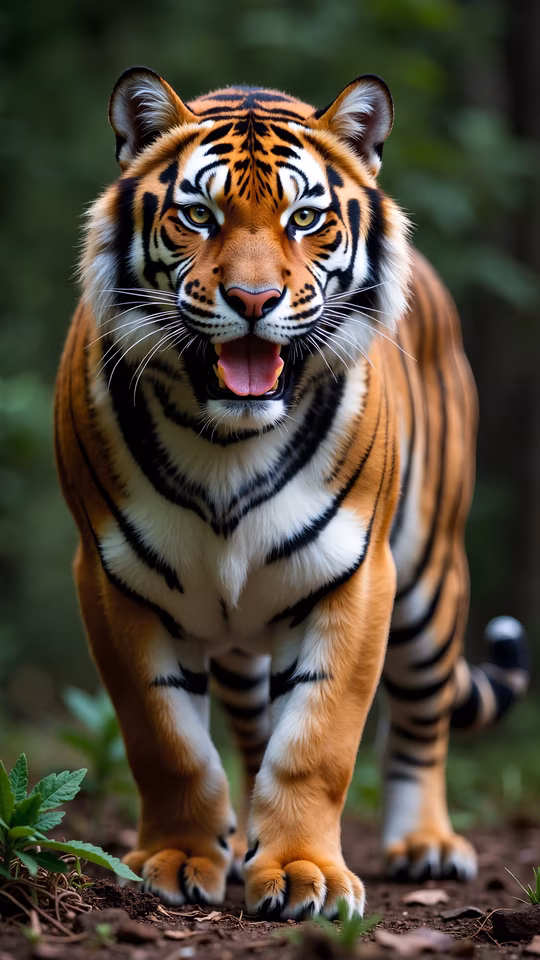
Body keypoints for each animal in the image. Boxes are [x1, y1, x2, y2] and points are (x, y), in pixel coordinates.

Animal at [54, 66, 529, 920]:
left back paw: (426, 846)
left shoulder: (359, 578)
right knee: (247, 733)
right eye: (198, 216)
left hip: (430, 578)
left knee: (421, 718)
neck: (226, 441)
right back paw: (243, 844)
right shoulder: (112, 580)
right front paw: (180, 858)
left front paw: (307, 873)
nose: (251, 301)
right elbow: (166, 738)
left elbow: (317, 742)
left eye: (305, 218)